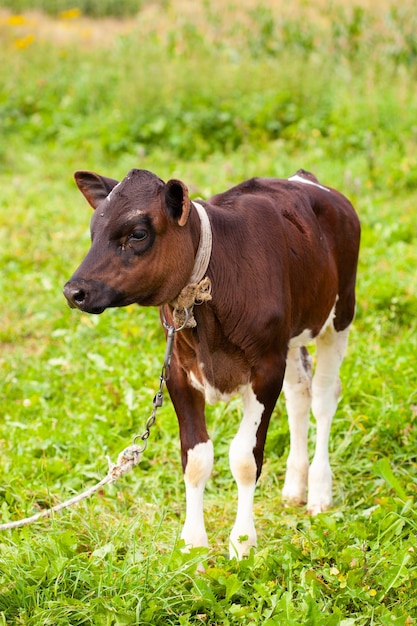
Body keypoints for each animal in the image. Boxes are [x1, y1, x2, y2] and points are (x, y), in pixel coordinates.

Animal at [63, 166, 360, 556]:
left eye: (138, 233)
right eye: (93, 231)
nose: (74, 291)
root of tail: (307, 179)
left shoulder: (266, 368)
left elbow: (245, 459)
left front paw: (242, 543)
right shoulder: (178, 372)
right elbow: (196, 459)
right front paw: (193, 546)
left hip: (339, 315)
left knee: (324, 398)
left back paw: (319, 492)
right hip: (293, 335)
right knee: (300, 395)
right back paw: (294, 487)